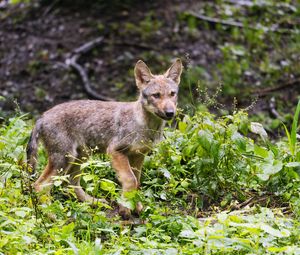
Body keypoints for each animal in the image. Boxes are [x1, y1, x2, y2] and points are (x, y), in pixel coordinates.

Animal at [27, 58, 183, 218]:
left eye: (172, 94)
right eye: (156, 95)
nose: (170, 112)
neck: (145, 125)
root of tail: (42, 116)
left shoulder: (138, 155)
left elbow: (137, 183)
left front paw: (137, 206)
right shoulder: (115, 151)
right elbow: (130, 180)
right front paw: (125, 209)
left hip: (80, 157)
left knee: (70, 183)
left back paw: (93, 202)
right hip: (64, 159)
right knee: (39, 185)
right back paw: (51, 215)